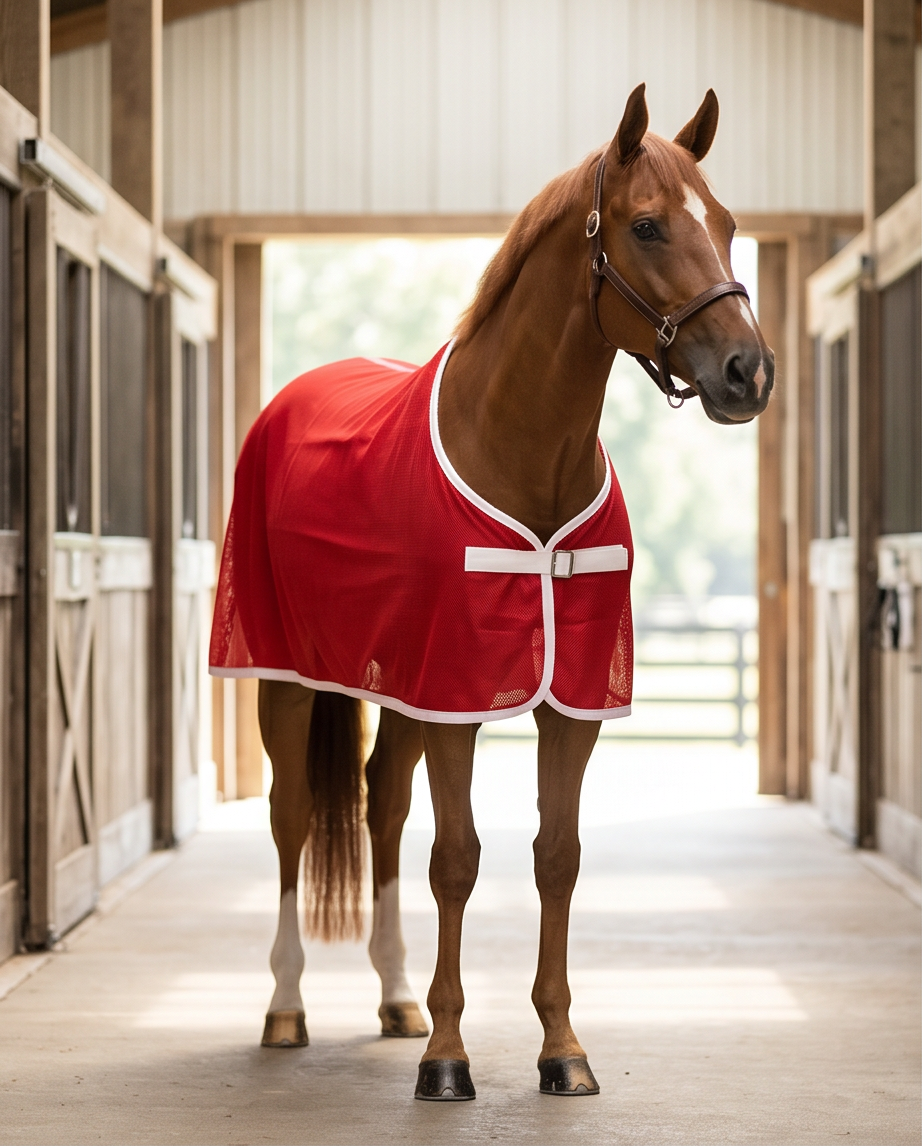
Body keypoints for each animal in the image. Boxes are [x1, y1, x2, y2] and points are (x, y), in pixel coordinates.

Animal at [209, 83, 774, 1101]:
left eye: (727, 223)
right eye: (646, 225)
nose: (750, 373)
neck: (521, 453)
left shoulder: (563, 703)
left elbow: (556, 858)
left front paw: (561, 1049)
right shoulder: (459, 698)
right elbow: (458, 860)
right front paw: (446, 1058)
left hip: (397, 687)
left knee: (381, 807)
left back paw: (394, 999)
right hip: (287, 680)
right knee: (292, 817)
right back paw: (287, 1009)